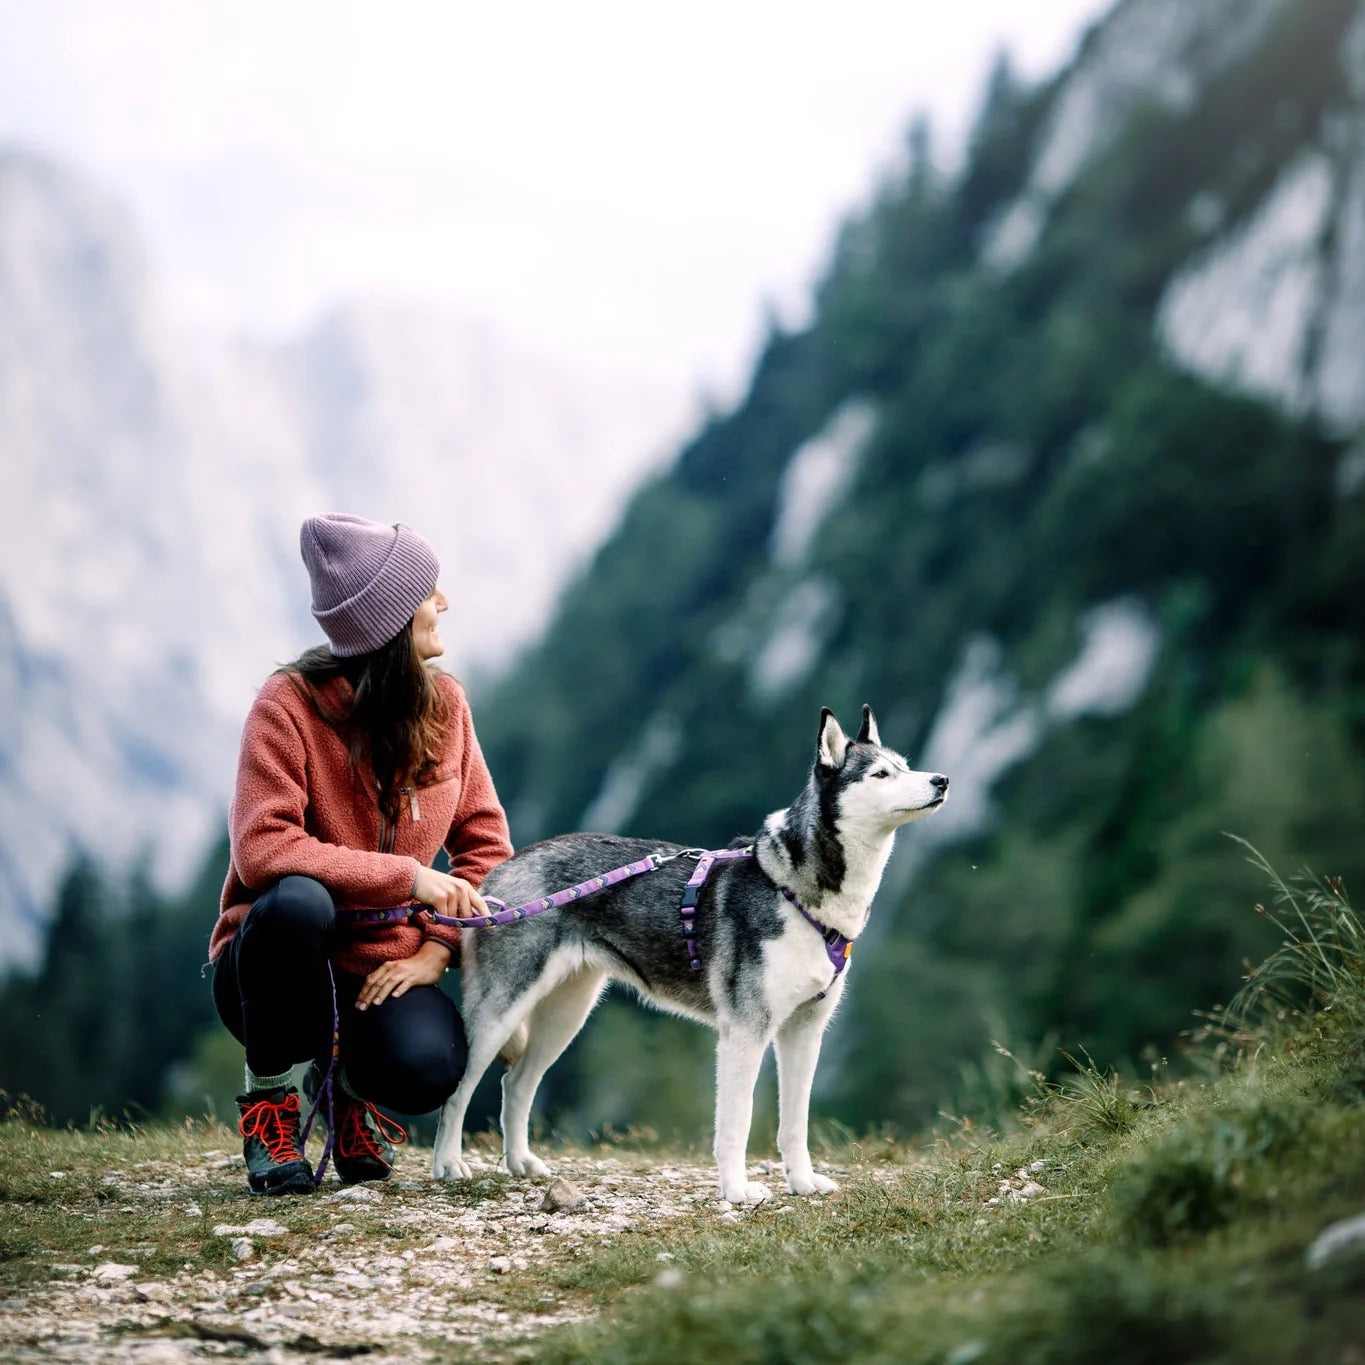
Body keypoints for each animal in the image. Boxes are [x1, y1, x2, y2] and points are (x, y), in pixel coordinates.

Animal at [431, 705, 948, 1204]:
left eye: (905, 765)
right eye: (880, 774)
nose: (941, 780)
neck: (795, 893)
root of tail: (500, 873)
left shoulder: (804, 1032)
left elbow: (794, 1125)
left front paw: (802, 1183)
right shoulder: (745, 1032)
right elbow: (737, 1124)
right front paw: (737, 1191)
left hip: (567, 1015)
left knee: (516, 1083)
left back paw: (521, 1163)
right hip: (500, 1013)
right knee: (459, 1087)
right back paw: (449, 1165)